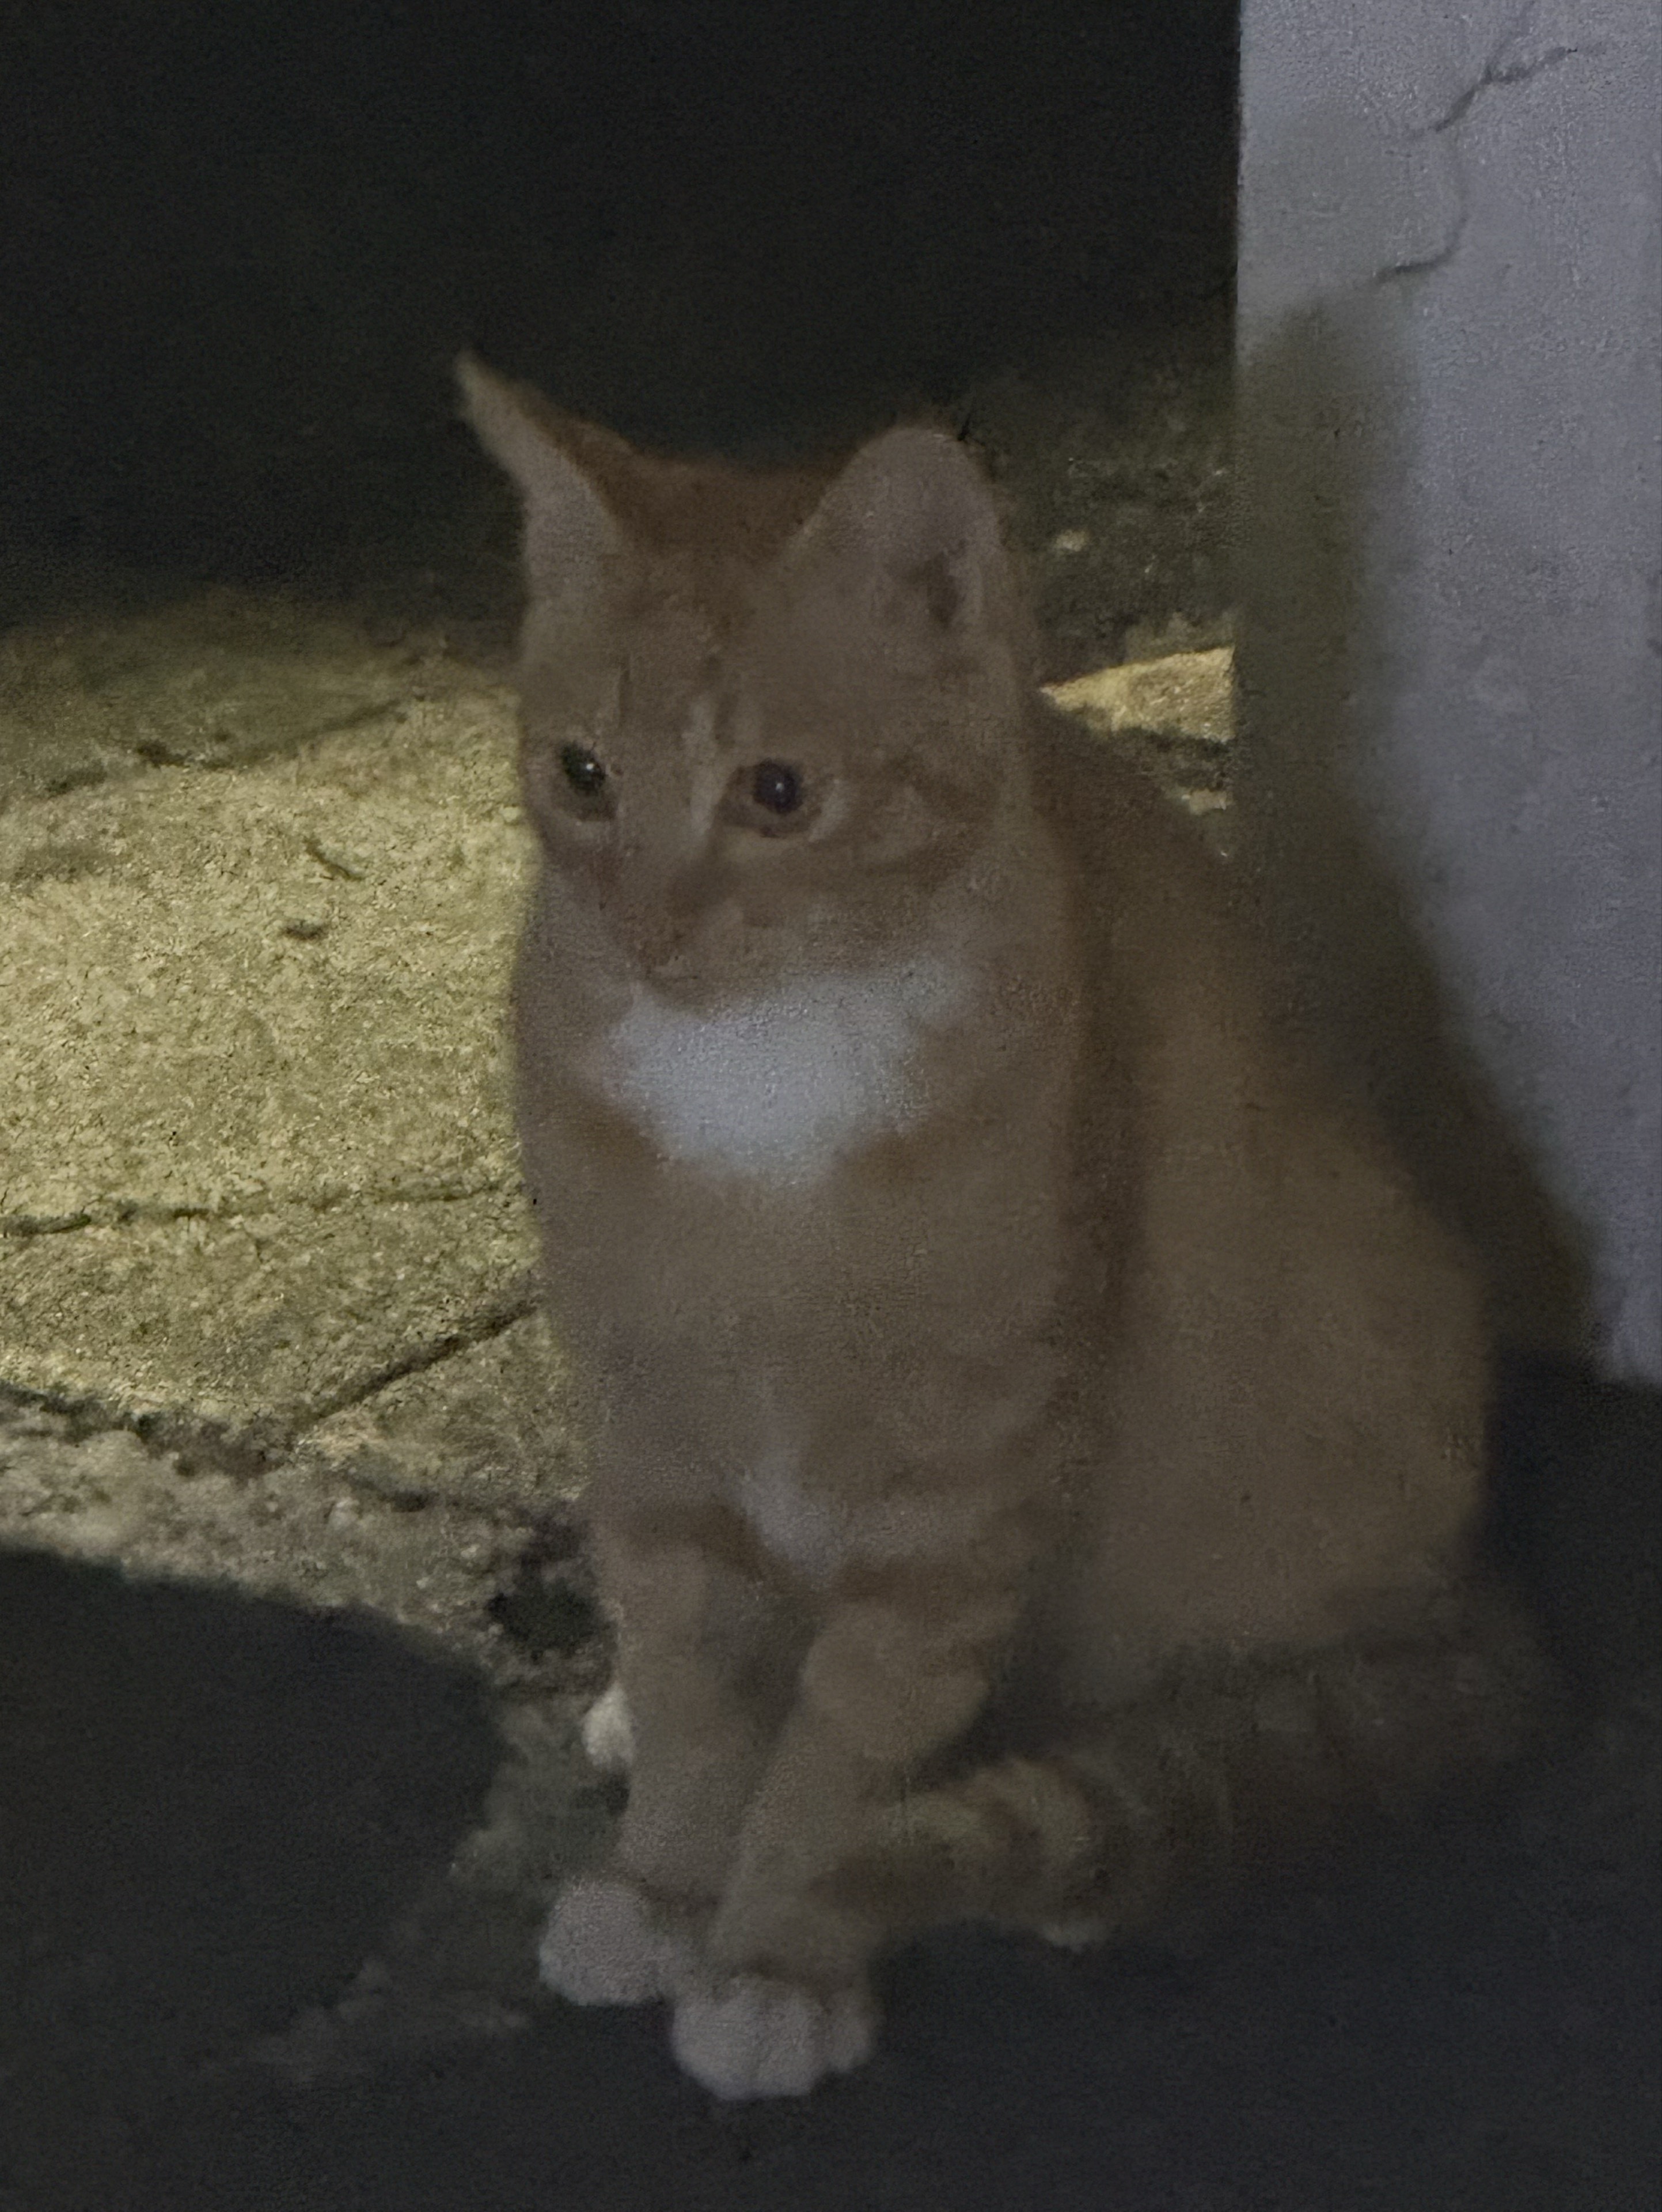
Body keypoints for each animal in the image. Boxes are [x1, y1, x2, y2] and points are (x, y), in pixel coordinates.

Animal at [457, 354, 1549, 2101]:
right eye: (582, 776)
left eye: (778, 795)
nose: (647, 932)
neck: (756, 1087)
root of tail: (1478, 1594)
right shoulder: (648, 1406)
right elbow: (697, 1686)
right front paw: (665, 1881)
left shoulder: (966, 1465)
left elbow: (844, 1757)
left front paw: (776, 1952)